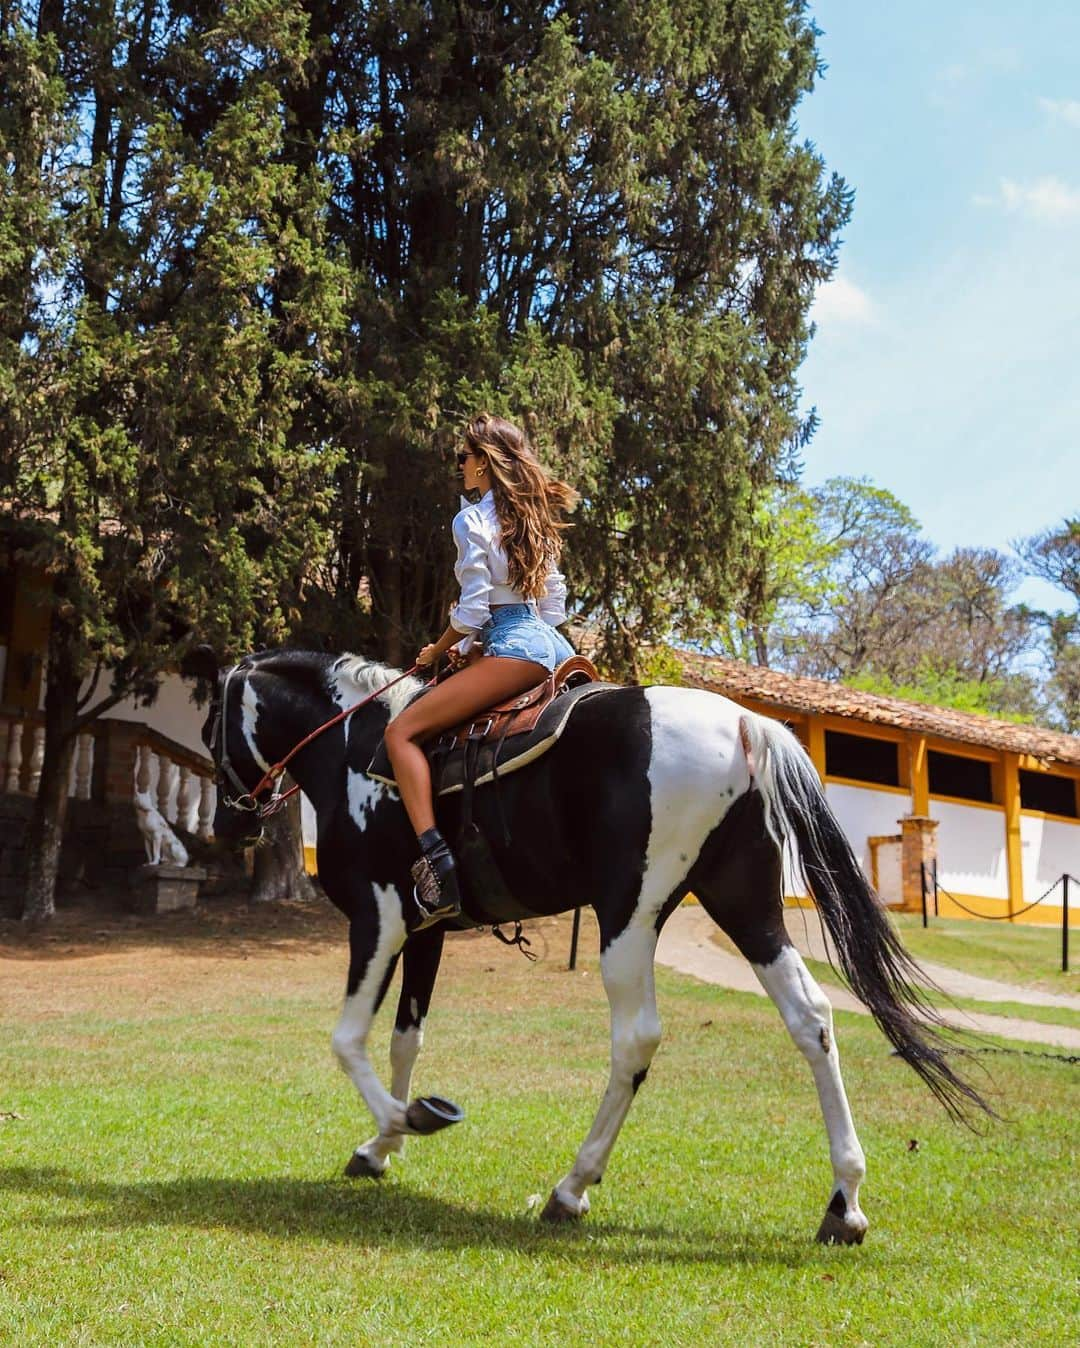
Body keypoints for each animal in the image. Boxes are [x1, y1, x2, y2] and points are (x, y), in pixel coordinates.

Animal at [199, 647, 986, 1245]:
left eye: (210, 728)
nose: (227, 826)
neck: (355, 751)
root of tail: (742, 720)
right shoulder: (427, 931)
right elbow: (404, 1040)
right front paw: (380, 1149)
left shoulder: (380, 918)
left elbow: (348, 1038)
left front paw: (404, 1121)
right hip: (745, 904)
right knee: (812, 1019)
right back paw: (844, 1203)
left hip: (630, 915)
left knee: (636, 1038)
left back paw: (571, 1187)